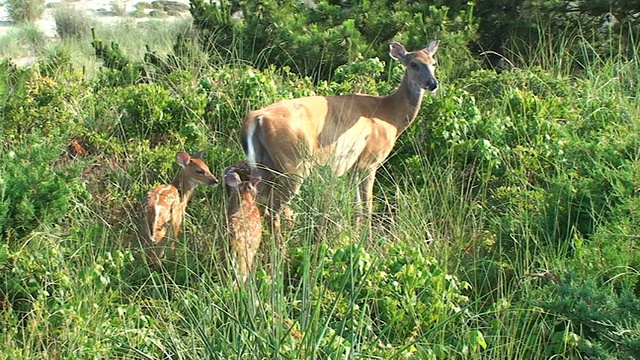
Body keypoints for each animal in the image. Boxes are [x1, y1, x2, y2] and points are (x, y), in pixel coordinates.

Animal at [240, 40, 440, 242]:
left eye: (433, 63)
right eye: (413, 64)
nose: (433, 83)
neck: (391, 116)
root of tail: (256, 118)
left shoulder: (352, 165)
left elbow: (356, 206)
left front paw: (355, 235)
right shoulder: (370, 161)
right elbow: (367, 206)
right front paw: (367, 240)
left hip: (263, 165)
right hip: (293, 163)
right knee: (272, 209)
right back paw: (280, 247)